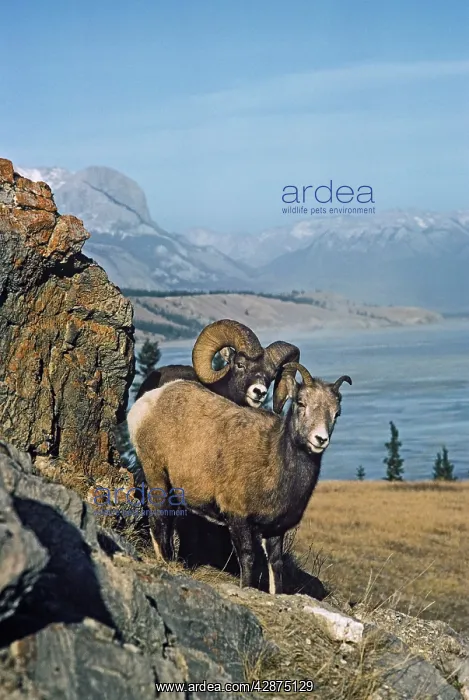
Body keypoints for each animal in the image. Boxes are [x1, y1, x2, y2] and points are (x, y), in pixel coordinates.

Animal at [127, 362, 352, 594]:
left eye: (336, 413)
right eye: (301, 403)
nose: (320, 439)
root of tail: (150, 401)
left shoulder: (275, 530)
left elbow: (276, 565)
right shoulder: (238, 519)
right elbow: (247, 558)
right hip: (157, 477)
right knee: (158, 517)